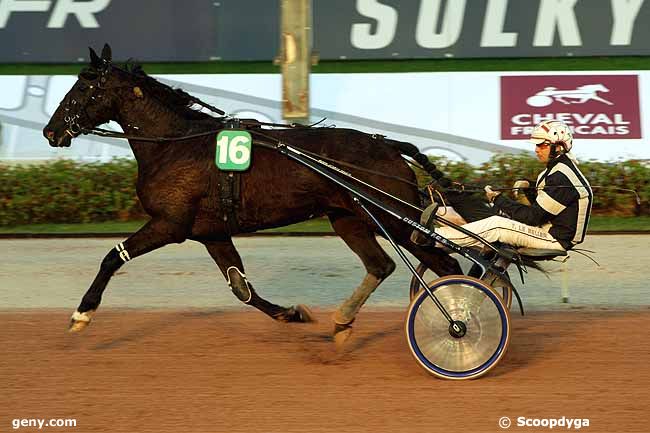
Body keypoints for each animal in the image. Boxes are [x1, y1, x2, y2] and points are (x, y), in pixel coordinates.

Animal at [43, 45, 460, 344]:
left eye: (82, 86)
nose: (51, 131)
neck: (174, 145)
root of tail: (388, 145)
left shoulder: (169, 224)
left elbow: (113, 257)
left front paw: (82, 314)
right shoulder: (210, 232)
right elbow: (241, 288)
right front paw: (292, 313)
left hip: (394, 217)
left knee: (446, 263)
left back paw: (458, 321)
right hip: (349, 218)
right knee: (381, 265)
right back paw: (343, 322)